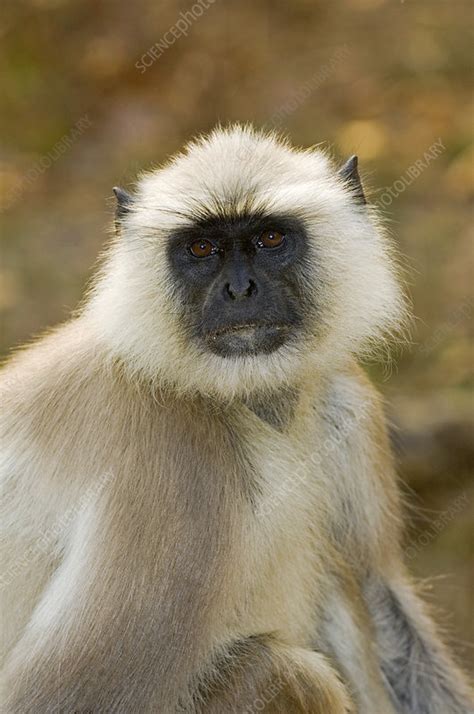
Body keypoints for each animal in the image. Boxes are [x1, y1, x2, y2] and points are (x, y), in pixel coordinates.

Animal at [0, 128, 472, 712]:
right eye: (202, 249)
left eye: (270, 238)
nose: (240, 290)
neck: (240, 398)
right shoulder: (173, 461)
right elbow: (54, 697)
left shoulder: (344, 400)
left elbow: (380, 595)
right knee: (285, 670)